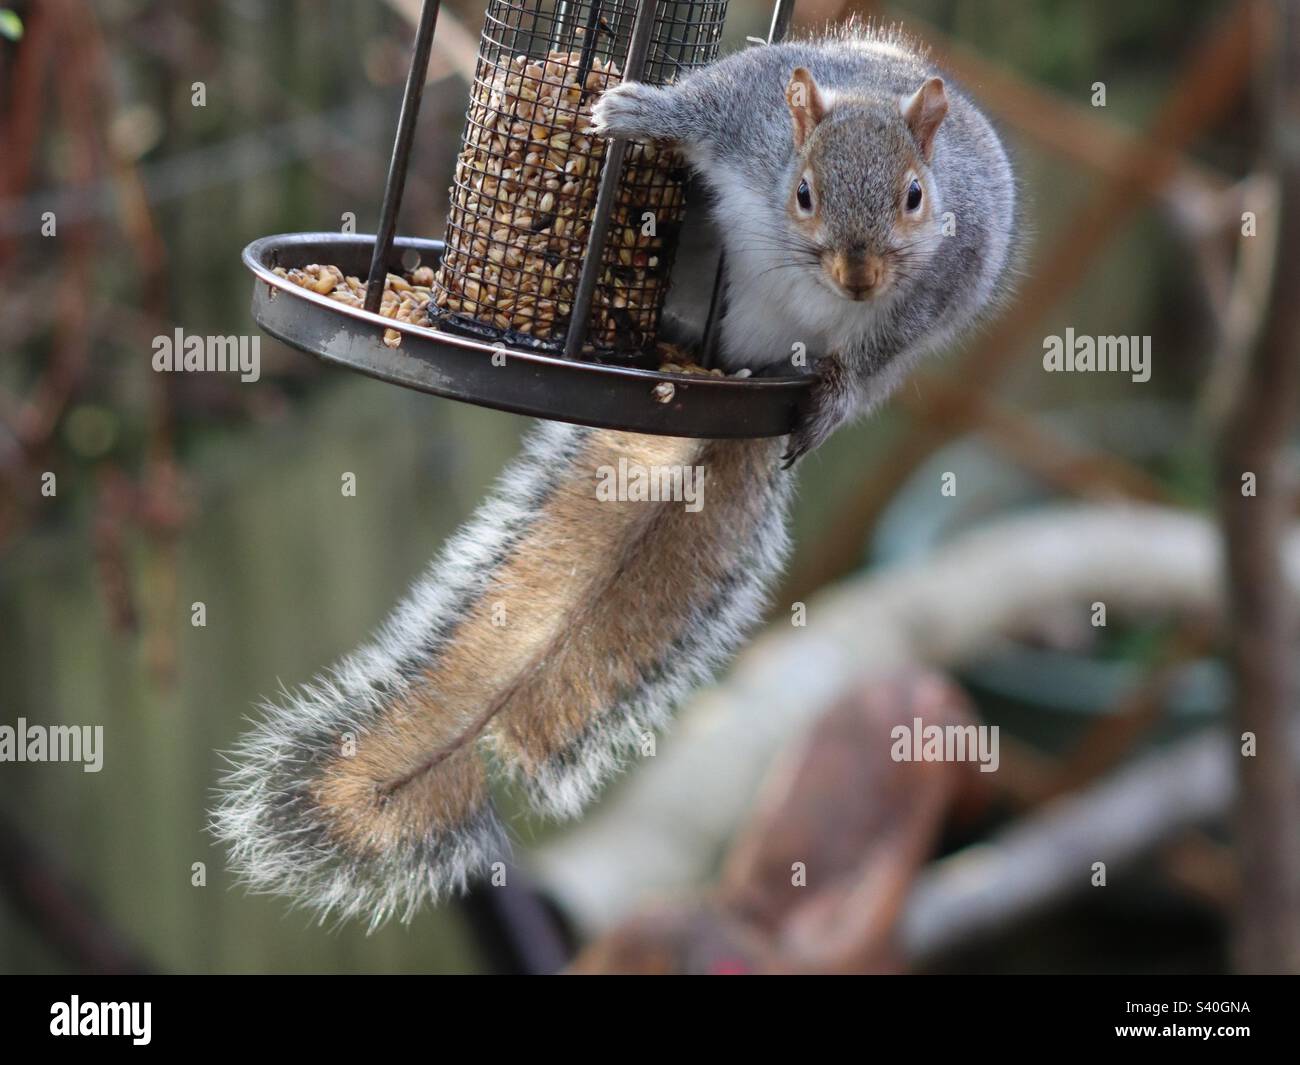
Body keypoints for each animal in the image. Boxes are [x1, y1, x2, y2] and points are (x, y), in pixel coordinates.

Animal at [214, 24, 1015, 926]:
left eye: (916, 197)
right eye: (804, 193)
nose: (859, 276)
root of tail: (744, 368)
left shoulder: (937, 285)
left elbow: (876, 351)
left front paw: (838, 394)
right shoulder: (747, 119)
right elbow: (704, 102)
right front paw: (640, 109)